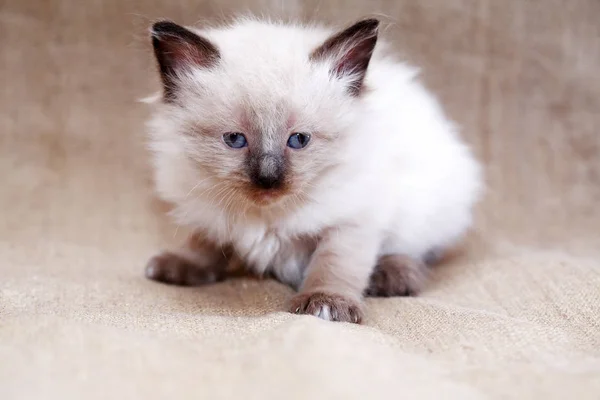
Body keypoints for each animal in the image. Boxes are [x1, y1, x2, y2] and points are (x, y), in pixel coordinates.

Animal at [144, 17, 482, 324]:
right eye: (235, 139)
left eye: (299, 140)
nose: (268, 179)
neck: (267, 215)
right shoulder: (209, 207)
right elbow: (203, 242)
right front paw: (180, 265)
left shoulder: (352, 221)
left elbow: (334, 265)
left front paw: (326, 304)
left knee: (418, 251)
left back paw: (393, 276)